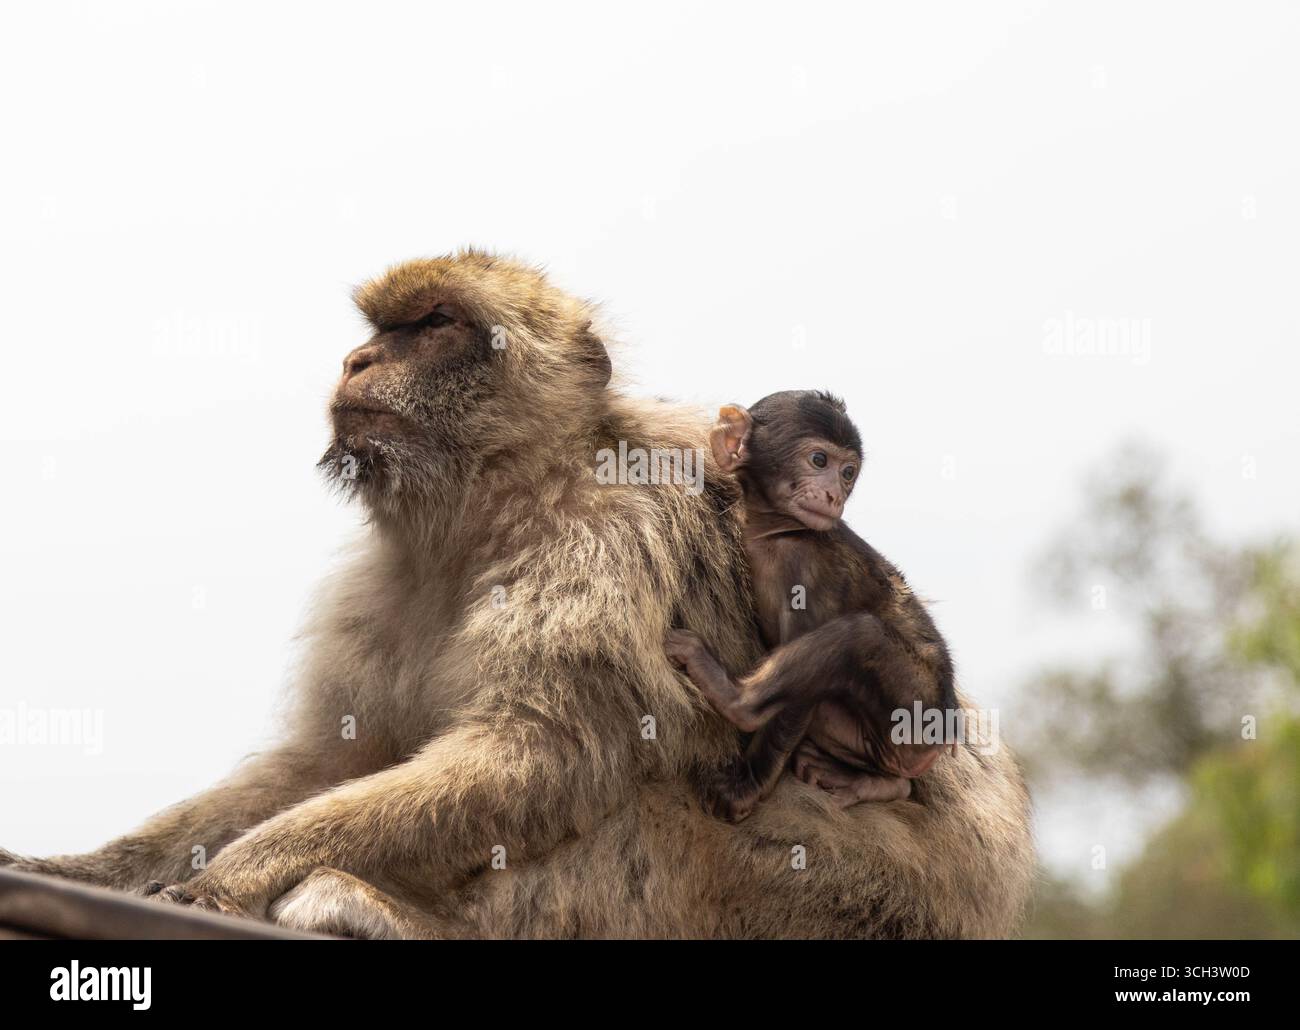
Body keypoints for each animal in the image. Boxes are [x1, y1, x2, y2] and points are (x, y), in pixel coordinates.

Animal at [666, 392, 957, 823]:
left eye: (848, 473)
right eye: (820, 461)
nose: (834, 494)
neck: (778, 531)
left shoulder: (806, 570)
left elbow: (796, 703)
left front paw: (746, 787)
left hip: (920, 712)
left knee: (859, 637)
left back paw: (735, 699)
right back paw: (880, 783)